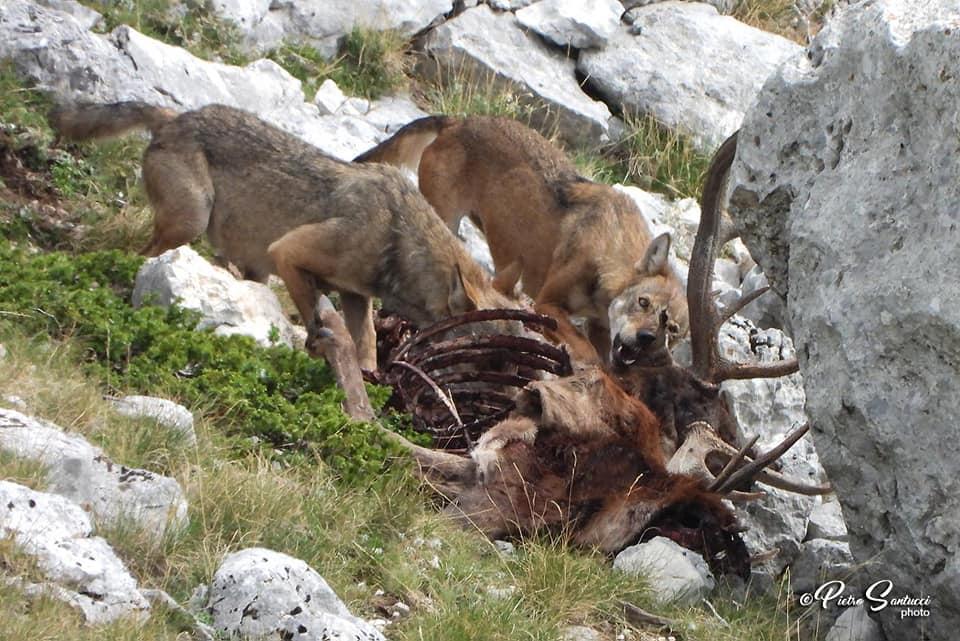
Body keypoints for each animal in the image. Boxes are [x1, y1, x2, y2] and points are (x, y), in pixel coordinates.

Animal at [51, 102, 515, 369]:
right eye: (492, 345)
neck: (399, 237)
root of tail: (175, 117)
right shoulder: (288, 254)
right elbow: (317, 321)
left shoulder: (356, 296)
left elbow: (365, 349)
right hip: (191, 224)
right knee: (138, 255)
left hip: (247, 264)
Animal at [355, 115, 688, 367]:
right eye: (643, 302)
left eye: (671, 328)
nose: (646, 339)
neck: (609, 253)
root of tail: (458, 120)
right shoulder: (547, 303)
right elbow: (587, 353)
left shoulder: (600, 329)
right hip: (442, 221)